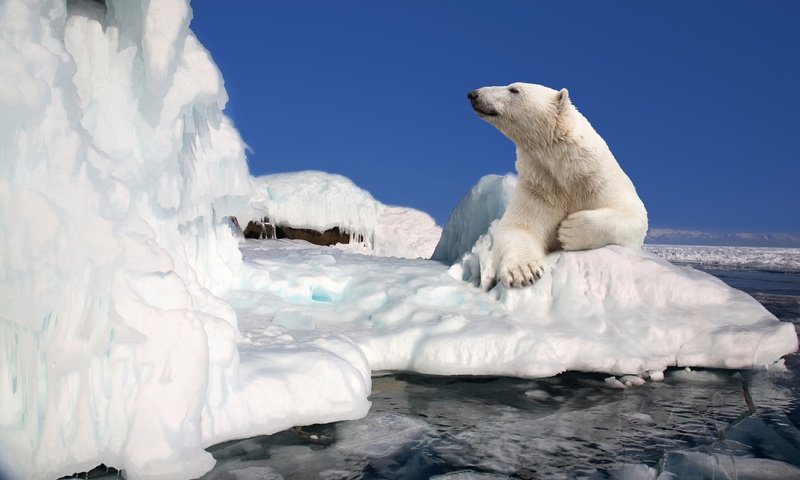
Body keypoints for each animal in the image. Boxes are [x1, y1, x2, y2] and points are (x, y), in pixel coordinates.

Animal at [468, 81, 648, 288]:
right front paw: (524, 271)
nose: (473, 94)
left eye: (514, 89)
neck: (568, 174)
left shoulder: (600, 181)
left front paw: (569, 230)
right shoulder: (539, 188)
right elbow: (518, 227)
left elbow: (634, 215)